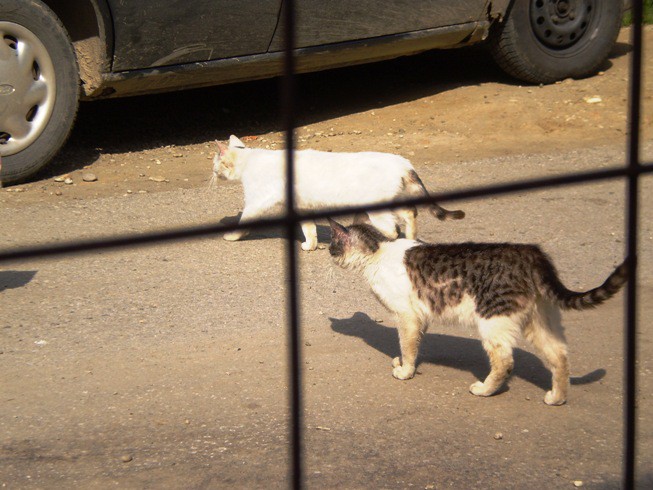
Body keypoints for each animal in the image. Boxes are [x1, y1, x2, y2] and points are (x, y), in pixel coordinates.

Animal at [211, 135, 460, 251]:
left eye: (214, 163)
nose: (212, 174)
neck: (249, 160)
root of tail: (403, 163)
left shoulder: (257, 201)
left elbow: (244, 220)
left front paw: (232, 236)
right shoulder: (302, 206)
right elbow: (309, 229)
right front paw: (310, 245)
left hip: (377, 208)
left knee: (392, 229)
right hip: (391, 202)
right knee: (410, 212)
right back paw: (409, 237)